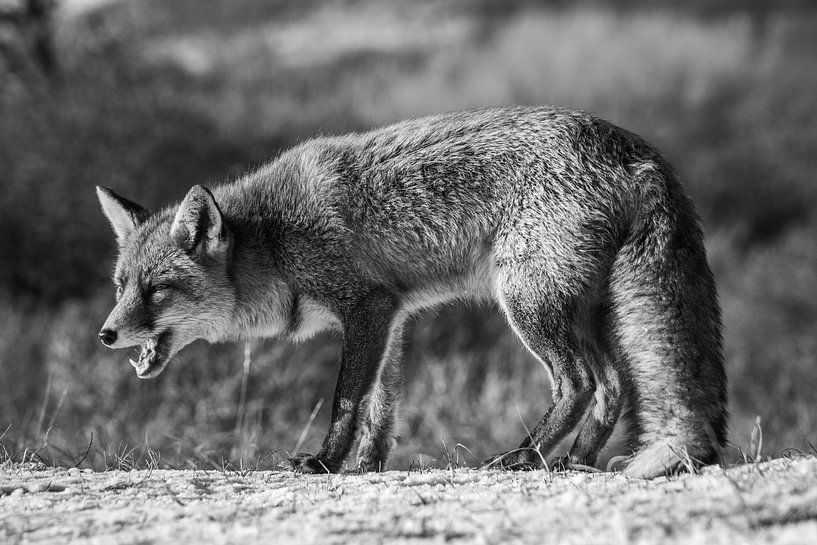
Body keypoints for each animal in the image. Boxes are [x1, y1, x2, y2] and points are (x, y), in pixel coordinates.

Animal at [96, 105, 727, 478]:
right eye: (122, 287)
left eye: (156, 290)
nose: (105, 334)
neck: (272, 242)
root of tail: (636, 149)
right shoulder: (390, 316)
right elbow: (380, 406)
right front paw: (367, 467)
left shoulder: (365, 308)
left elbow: (346, 401)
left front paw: (324, 463)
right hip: (580, 310)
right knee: (613, 385)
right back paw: (574, 461)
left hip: (530, 305)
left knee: (579, 383)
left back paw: (523, 456)